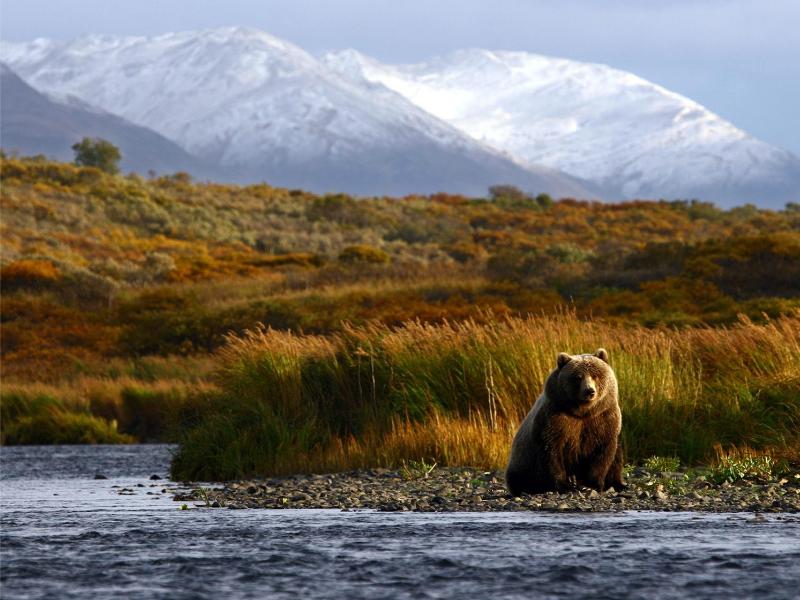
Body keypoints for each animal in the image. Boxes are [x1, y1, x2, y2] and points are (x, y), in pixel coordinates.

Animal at [505, 348, 625, 495]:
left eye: (595, 375)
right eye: (578, 377)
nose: (589, 391)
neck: (582, 412)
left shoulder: (603, 417)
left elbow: (602, 453)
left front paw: (590, 485)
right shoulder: (555, 417)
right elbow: (552, 451)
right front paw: (564, 486)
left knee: (617, 457)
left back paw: (619, 484)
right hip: (523, 461)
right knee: (520, 478)